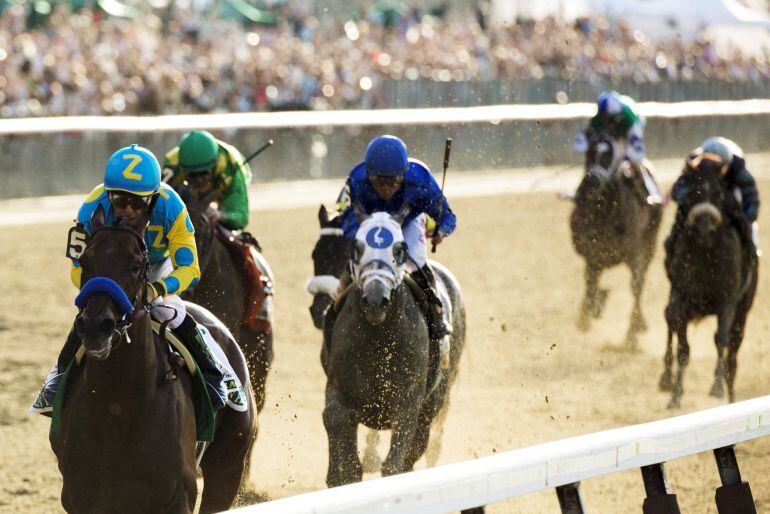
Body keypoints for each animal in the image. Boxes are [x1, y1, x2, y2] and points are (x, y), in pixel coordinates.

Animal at [50, 205, 258, 512]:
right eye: (85, 261)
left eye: (136, 265)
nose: (96, 326)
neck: (117, 410)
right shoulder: (82, 499)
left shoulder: (177, 498)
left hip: (228, 465)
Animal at [322, 208, 464, 484]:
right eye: (357, 247)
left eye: (399, 249)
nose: (376, 298)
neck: (377, 338)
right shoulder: (338, 386)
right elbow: (334, 417)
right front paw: (341, 473)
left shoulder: (408, 402)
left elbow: (395, 462)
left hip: (437, 397)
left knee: (419, 443)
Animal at [568, 132, 660, 344]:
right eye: (589, 153)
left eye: (608, 156)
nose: (592, 181)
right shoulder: (593, 255)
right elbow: (591, 285)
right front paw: (589, 314)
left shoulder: (635, 253)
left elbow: (636, 285)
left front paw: (632, 333)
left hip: (650, 246)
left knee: (639, 283)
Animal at [656, 158, 756, 406]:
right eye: (694, 190)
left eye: (719, 193)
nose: (705, 225)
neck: (706, 253)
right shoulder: (682, 298)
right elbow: (683, 347)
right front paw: (675, 394)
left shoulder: (727, 301)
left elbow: (721, 339)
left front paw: (717, 386)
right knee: (670, 321)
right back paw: (666, 378)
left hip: (743, 310)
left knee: (733, 351)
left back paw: (730, 392)